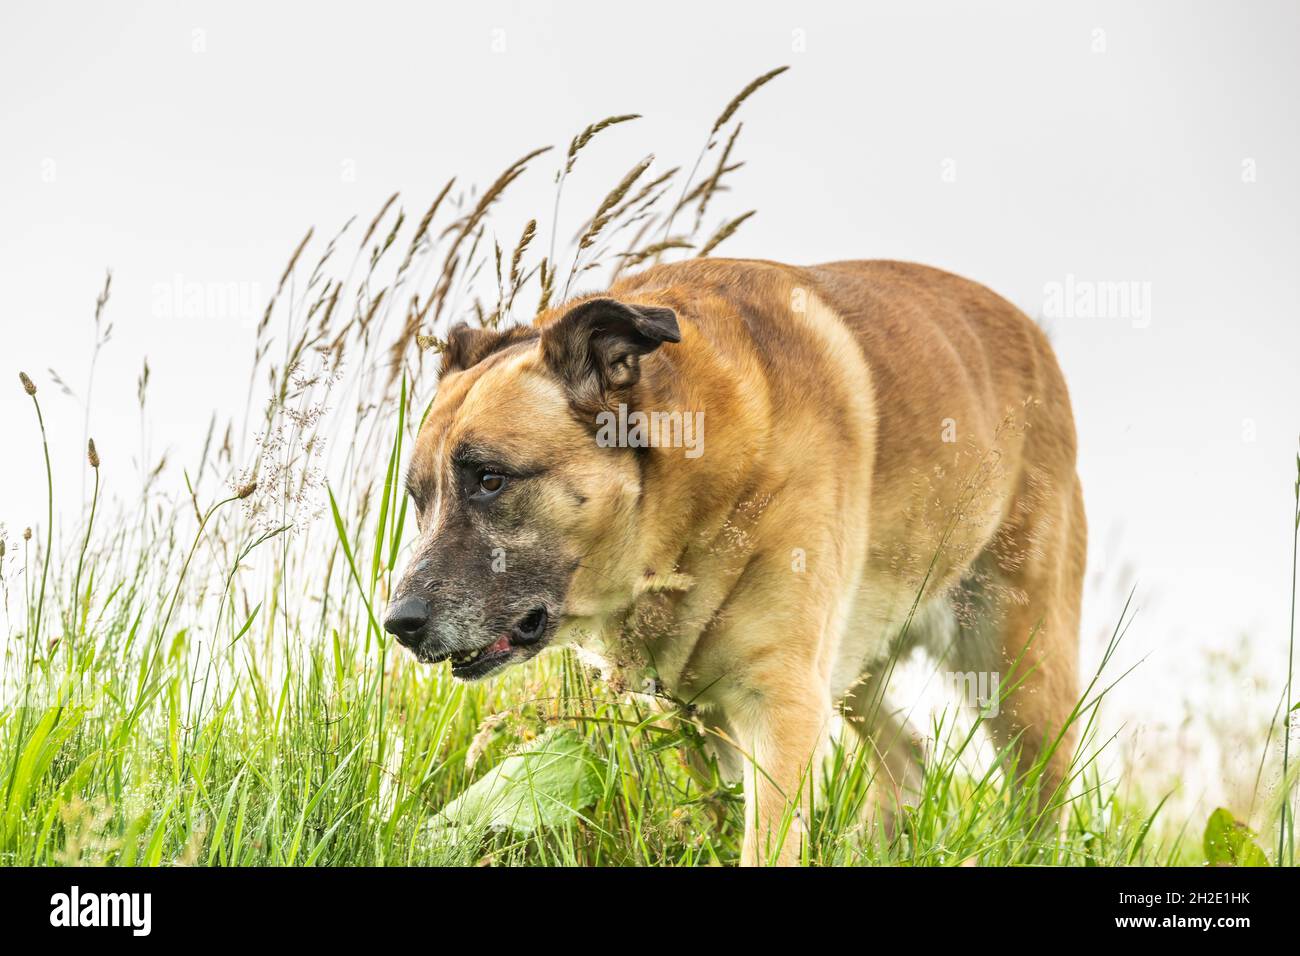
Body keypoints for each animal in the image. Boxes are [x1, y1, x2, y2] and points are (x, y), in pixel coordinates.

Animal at [384, 256, 1086, 868]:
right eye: (418, 498)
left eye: (490, 480)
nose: (398, 624)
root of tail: (1035, 337)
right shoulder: (703, 713)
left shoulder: (780, 704)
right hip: (855, 659)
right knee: (907, 759)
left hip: (1019, 667)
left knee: (1040, 800)